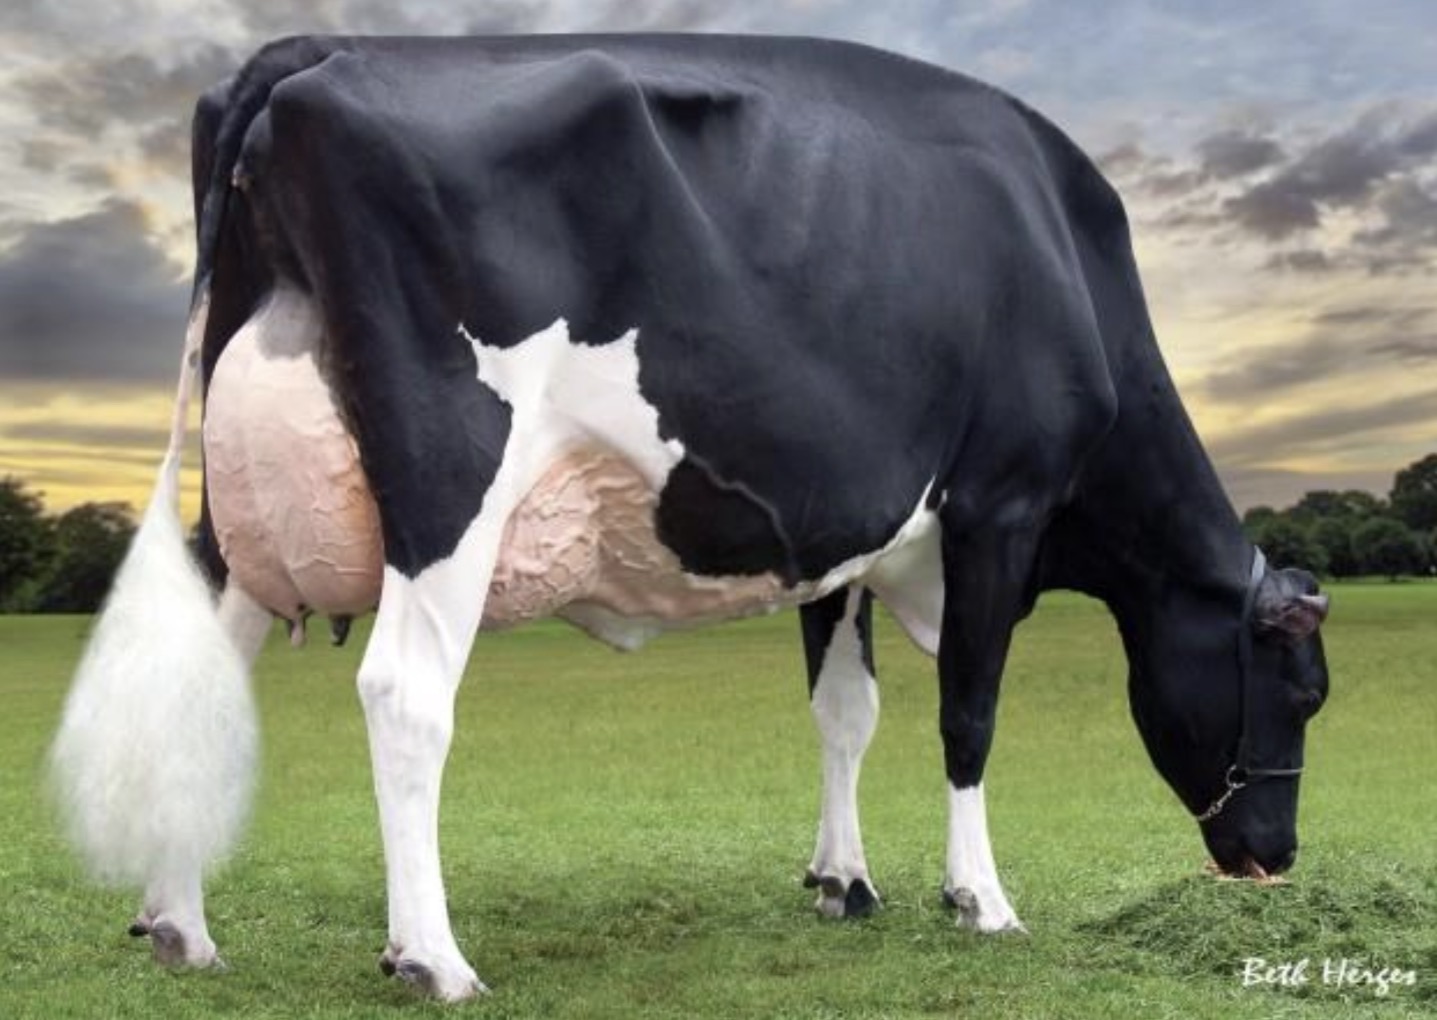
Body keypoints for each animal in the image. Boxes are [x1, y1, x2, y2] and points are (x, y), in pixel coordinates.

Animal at [51, 34, 1331, 1002]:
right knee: (405, 697)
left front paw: (843, 881)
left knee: (204, 684)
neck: (1072, 262)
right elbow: (967, 716)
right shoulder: (999, 507)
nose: (1274, 859)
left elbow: (845, 714)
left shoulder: (843, 543)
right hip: (450, 477)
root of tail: (309, 51)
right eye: (1303, 690)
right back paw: (432, 959)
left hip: (246, 509)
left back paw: (181, 929)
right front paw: (982, 899)